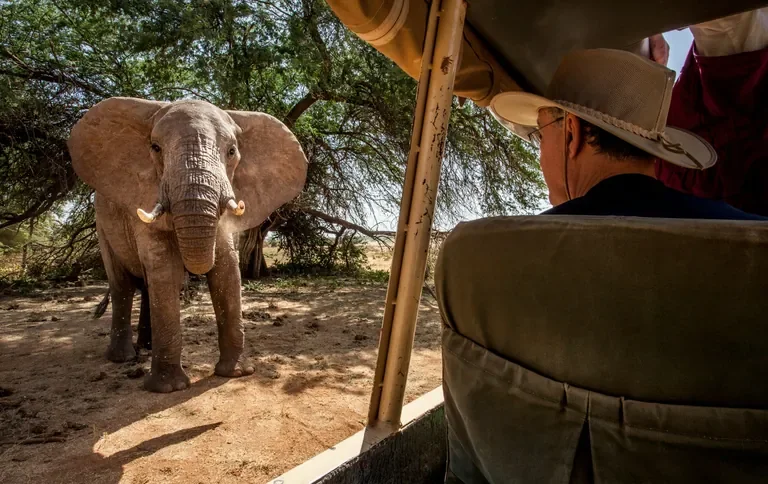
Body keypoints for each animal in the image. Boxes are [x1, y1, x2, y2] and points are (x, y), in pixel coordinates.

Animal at [68, 97, 308, 392]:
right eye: (155, 148)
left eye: (231, 151)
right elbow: (166, 271)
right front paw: (169, 388)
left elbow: (226, 270)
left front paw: (237, 374)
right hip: (103, 226)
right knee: (122, 284)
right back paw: (123, 359)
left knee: (145, 286)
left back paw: (146, 348)